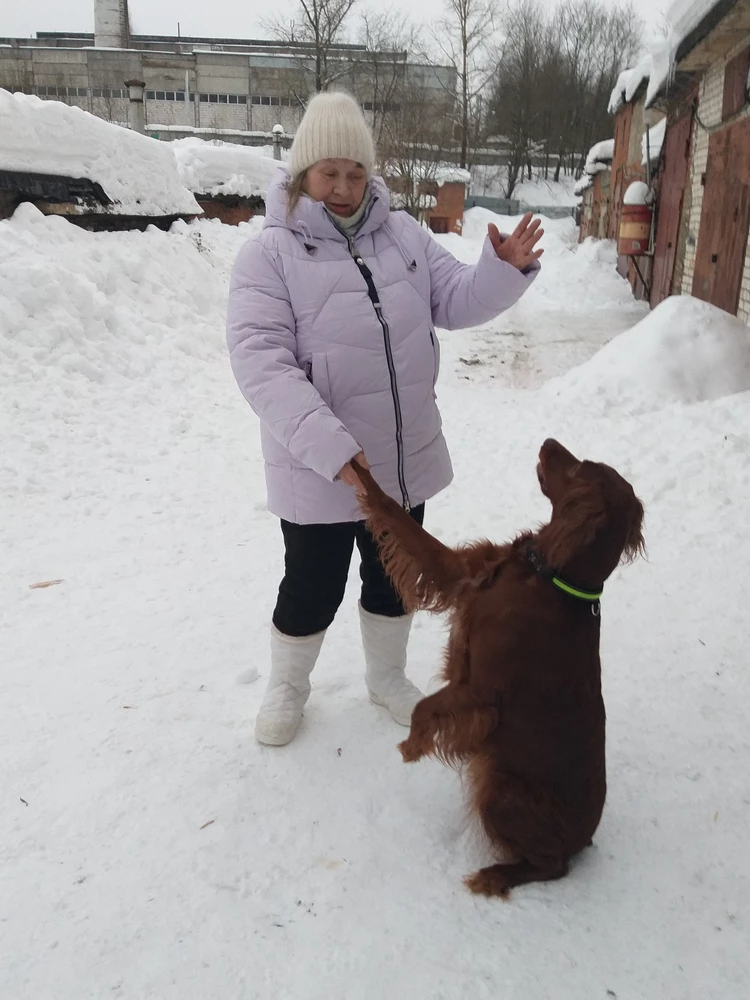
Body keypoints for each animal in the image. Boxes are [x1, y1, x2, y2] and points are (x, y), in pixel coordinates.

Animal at [354, 438, 648, 900]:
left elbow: (424, 709)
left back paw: (492, 876)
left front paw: (412, 747)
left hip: (499, 788)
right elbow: (395, 514)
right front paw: (357, 468)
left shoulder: (480, 690)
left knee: (553, 867)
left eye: (580, 468)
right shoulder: (455, 570)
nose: (547, 441)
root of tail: (584, 839)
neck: (548, 576)